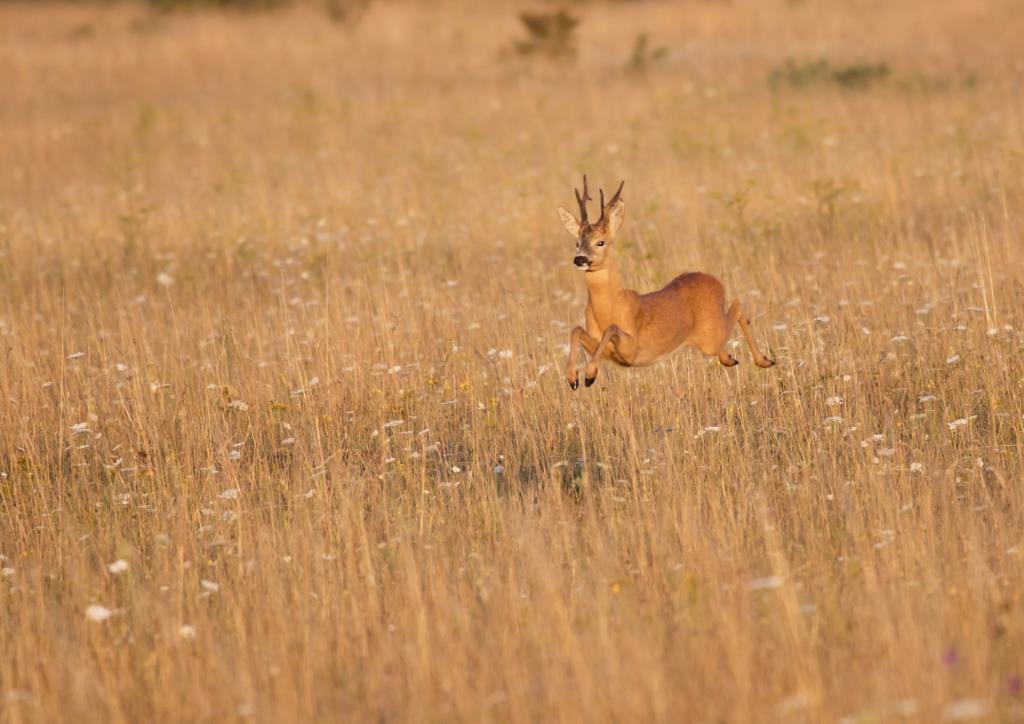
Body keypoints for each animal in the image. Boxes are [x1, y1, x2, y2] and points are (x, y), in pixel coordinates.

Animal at [561, 176, 774, 391]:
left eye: (600, 242)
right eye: (577, 243)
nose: (580, 259)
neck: (609, 308)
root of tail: (716, 282)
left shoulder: (632, 348)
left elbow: (611, 329)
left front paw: (589, 374)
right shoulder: (603, 350)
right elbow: (576, 329)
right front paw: (573, 377)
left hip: (710, 335)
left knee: (737, 306)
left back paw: (765, 360)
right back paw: (731, 358)